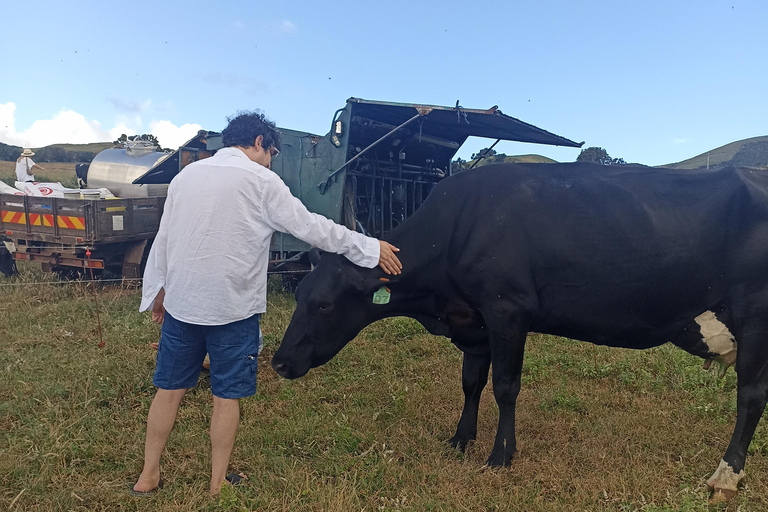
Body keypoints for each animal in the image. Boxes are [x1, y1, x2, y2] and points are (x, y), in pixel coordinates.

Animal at [270, 162, 768, 498]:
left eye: (323, 303)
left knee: (751, 396)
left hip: (754, 313)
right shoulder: (474, 321)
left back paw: (725, 476)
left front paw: (499, 456)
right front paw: (460, 439)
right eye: (300, 295)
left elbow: (505, 386)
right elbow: (471, 382)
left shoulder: (507, 310)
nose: (278, 362)